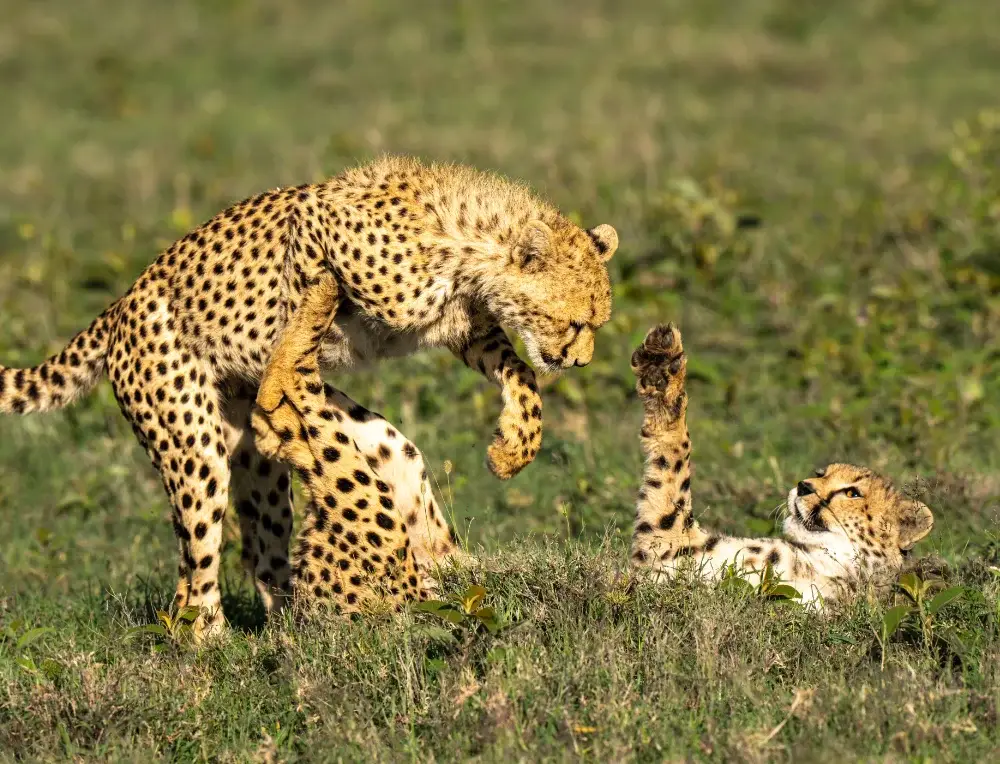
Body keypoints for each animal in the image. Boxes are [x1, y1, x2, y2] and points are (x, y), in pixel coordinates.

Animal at [0, 155, 618, 637]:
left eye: (595, 324)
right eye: (576, 322)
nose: (581, 361)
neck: (471, 247)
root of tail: (120, 304)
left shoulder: (467, 332)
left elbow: (521, 373)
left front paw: (515, 445)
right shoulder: (316, 227)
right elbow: (309, 296)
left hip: (297, 459)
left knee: (269, 544)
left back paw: (285, 626)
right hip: (194, 449)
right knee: (195, 571)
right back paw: (212, 642)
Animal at [627, 323, 934, 606]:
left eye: (851, 493)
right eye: (820, 473)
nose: (803, 486)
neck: (825, 567)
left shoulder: (665, 548)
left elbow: (675, 459)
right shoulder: (667, 551)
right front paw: (661, 364)